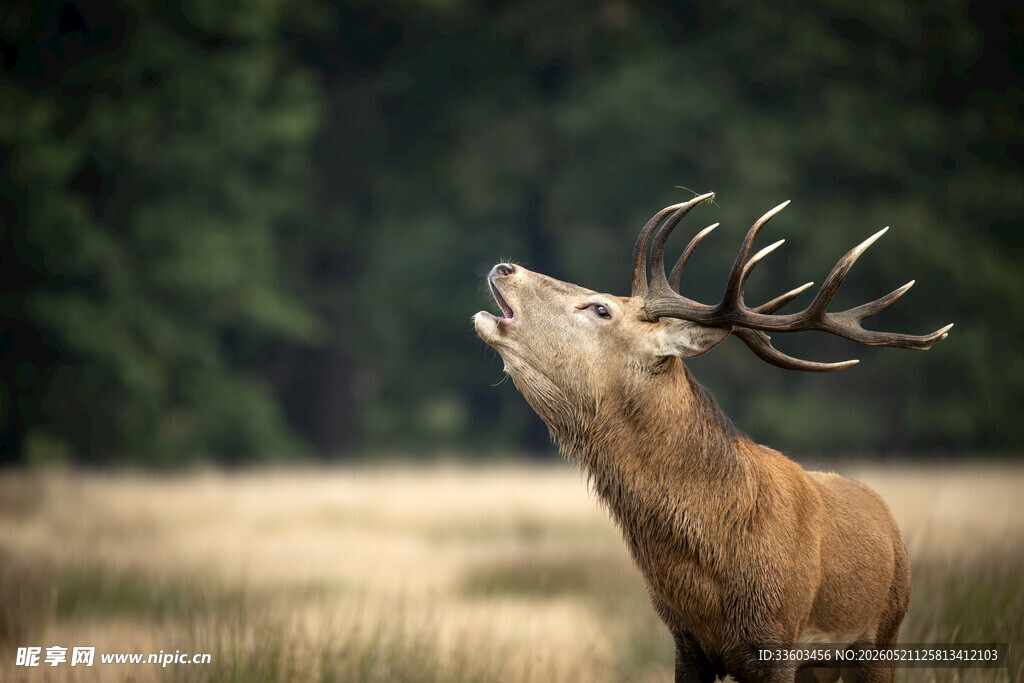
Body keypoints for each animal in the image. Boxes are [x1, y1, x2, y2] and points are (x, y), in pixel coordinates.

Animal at [473, 192, 952, 683]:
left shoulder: (779, 640)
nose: (505, 268)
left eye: (601, 308)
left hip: (884, 632)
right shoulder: (686, 642)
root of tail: (891, 525)